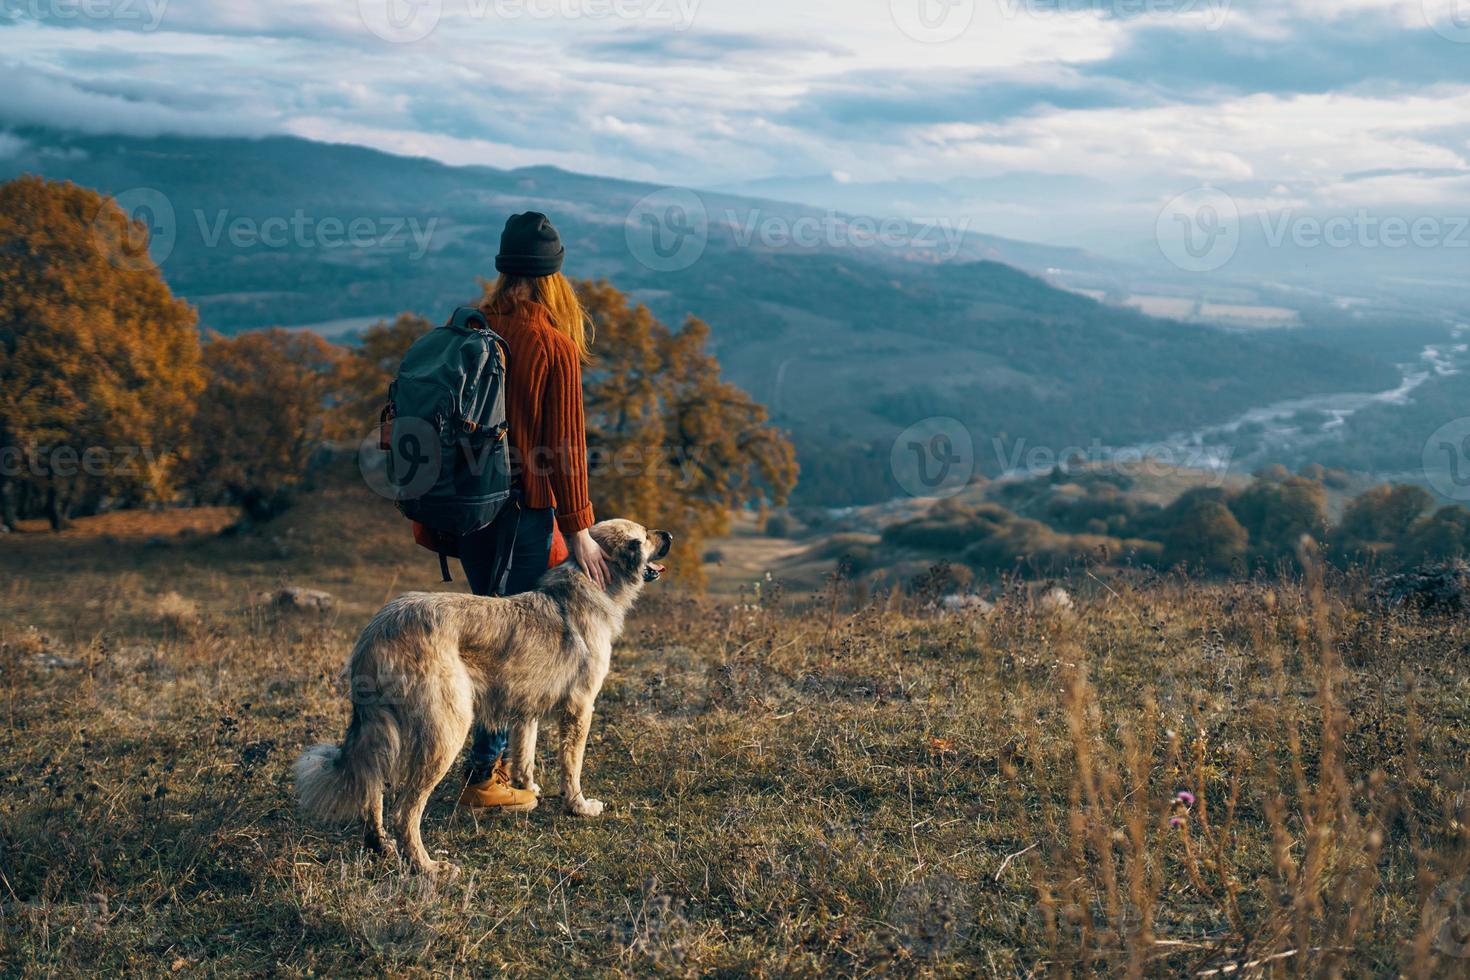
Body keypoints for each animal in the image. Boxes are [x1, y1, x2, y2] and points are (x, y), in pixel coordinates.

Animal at [292, 520, 673, 875]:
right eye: (645, 535)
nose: (668, 534)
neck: (588, 587)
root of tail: (379, 629)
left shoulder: (525, 708)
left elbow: (524, 754)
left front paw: (527, 788)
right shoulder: (580, 709)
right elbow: (572, 766)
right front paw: (578, 806)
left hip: (382, 729)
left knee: (373, 786)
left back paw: (380, 844)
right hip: (447, 729)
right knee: (405, 810)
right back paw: (426, 866)